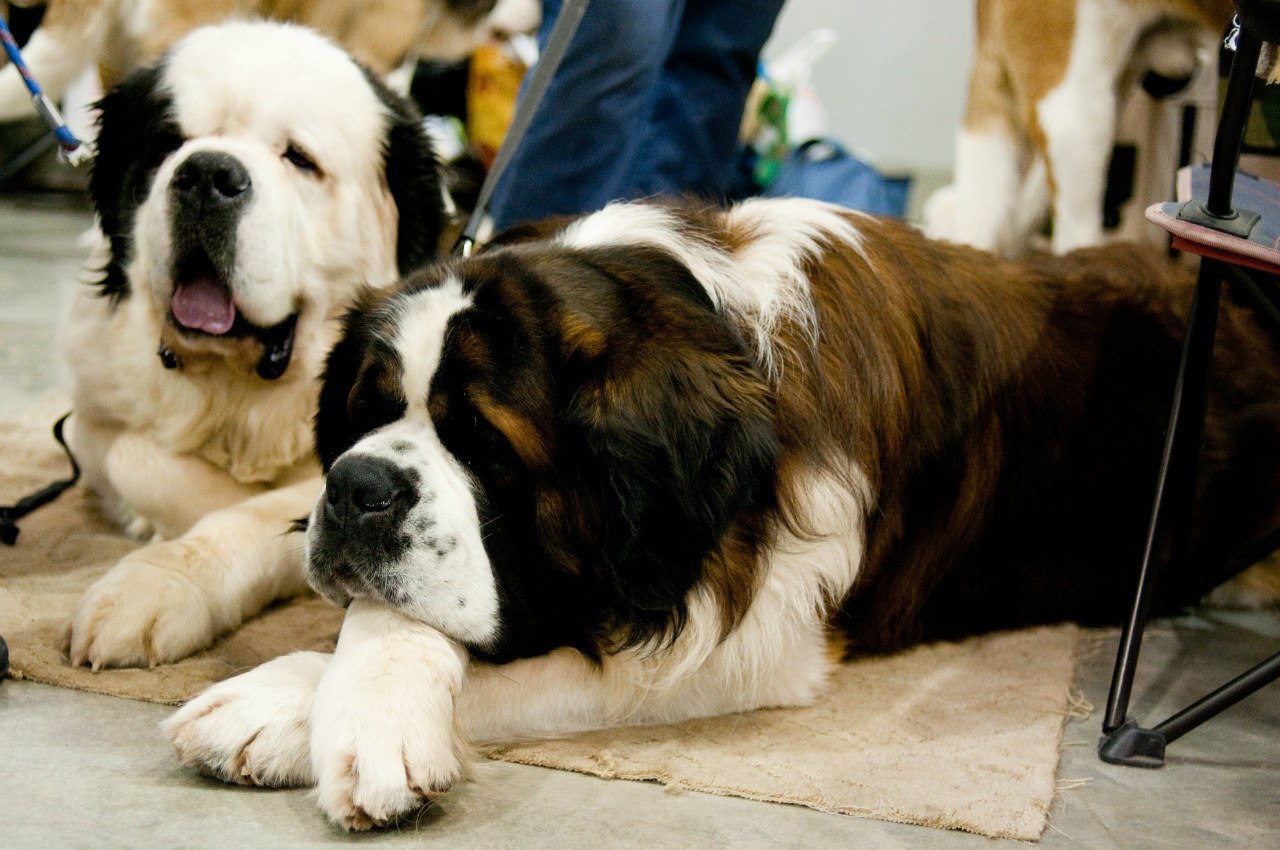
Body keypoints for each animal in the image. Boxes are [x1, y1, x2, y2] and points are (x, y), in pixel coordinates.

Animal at [64, 19, 445, 665]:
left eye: (299, 159)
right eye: (168, 145)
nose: (206, 174)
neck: (238, 394)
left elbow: (253, 514)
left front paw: (156, 581)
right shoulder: (89, 418)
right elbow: (131, 455)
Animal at [162, 195, 1280, 824]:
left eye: (486, 445)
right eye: (367, 410)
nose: (358, 488)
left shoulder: (750, 640)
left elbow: (451, 642)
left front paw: (308, 711)